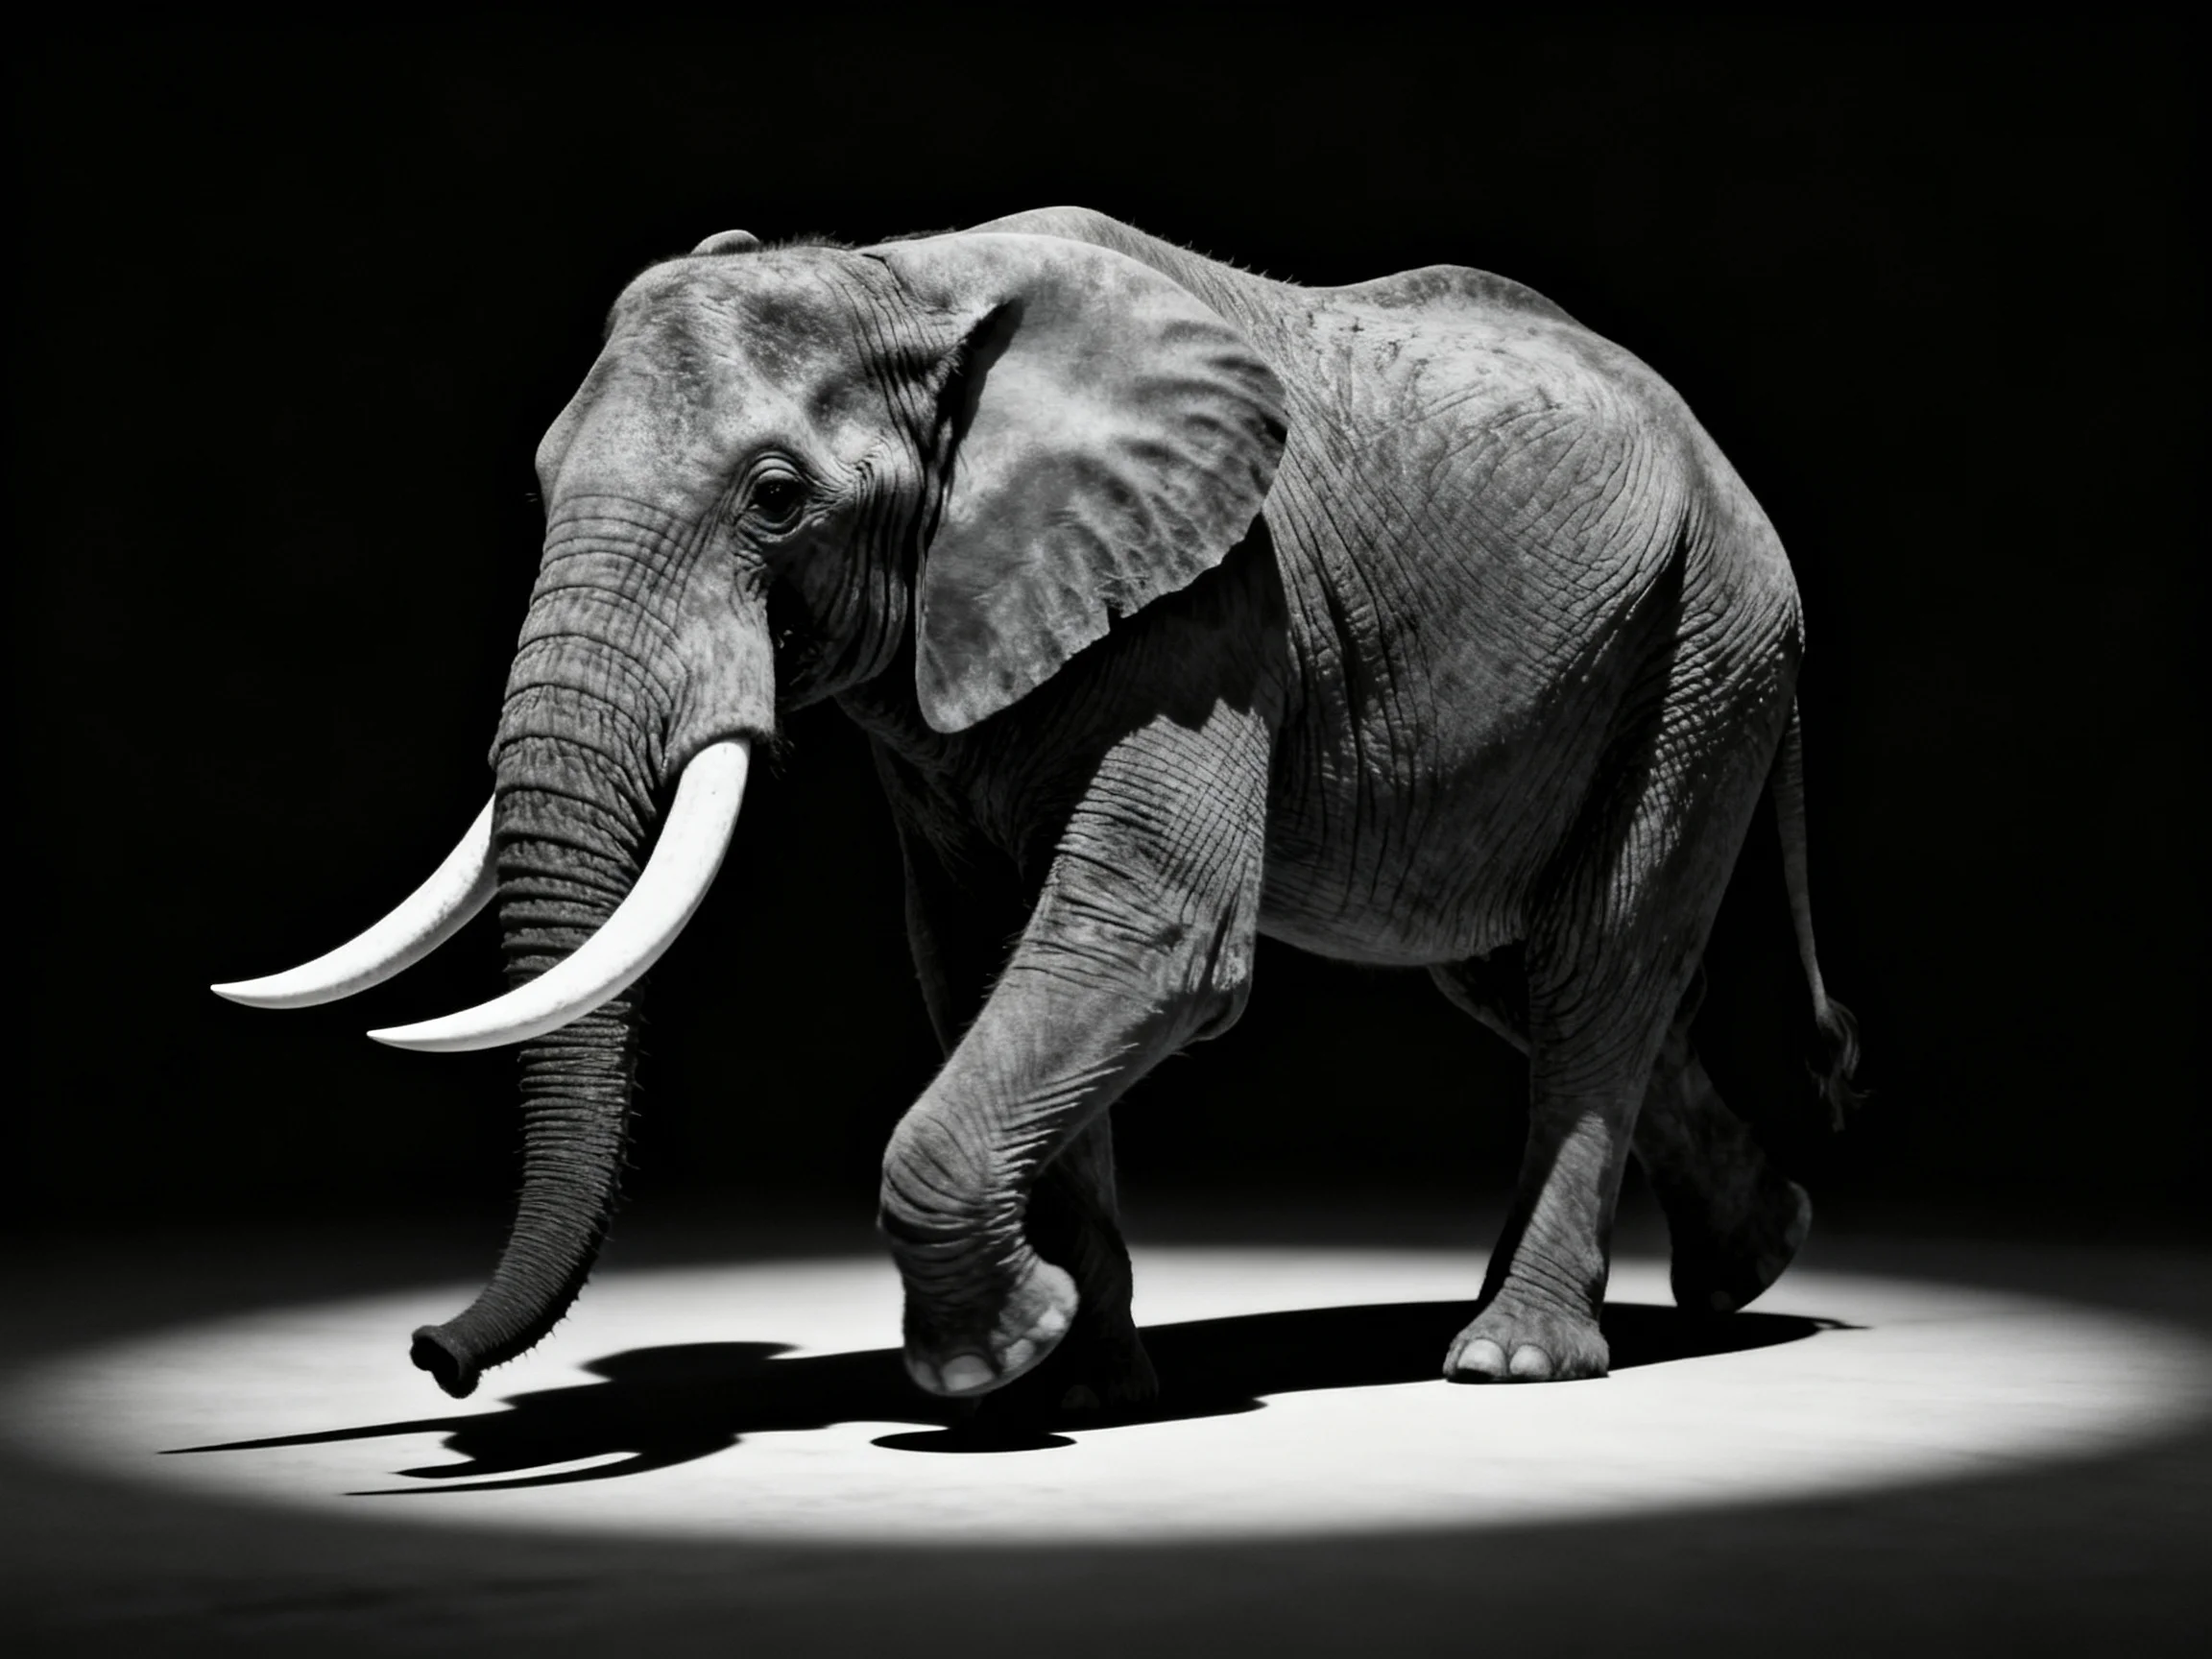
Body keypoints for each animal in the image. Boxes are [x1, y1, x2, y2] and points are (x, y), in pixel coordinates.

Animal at [215, 206, 1860, 1413]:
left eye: (775, 502)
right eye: (542, 485)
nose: (432, 1357)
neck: (908, 283)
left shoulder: (1209, 607)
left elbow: (1144, 940)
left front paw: (988, 1368)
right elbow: (985, 957)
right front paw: (1075, 1383)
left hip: (1711, 637)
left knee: (1598, 962)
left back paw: (1513, 1361)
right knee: (1508, 975)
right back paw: (1754, 1263)